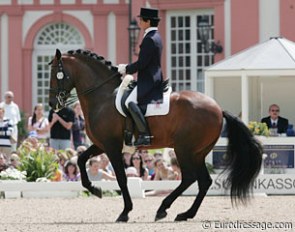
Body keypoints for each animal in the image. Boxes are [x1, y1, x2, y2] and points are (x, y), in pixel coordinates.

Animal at [48, 49, 264, 223]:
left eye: (55, 74)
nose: (52, 104)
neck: (103, 97)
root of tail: (218, 109)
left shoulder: (111, 146)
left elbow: (121, 178)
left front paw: (125, 212)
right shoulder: (102, 144)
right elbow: (81, 160)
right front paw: (95, 189)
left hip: (184, 149)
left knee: (189, 177)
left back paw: (163, 209)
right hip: (198, 152)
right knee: (204, 181)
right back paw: (185, 214)